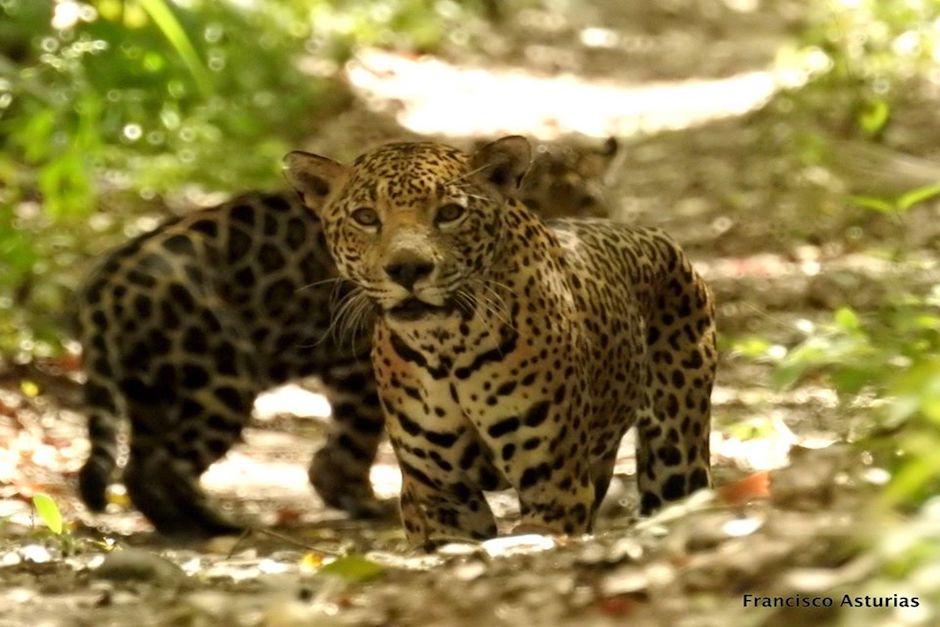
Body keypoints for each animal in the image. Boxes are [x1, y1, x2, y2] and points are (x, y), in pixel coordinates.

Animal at [76, 141, 617, 537]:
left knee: (138, 465)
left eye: (449, 213)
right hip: (217, 380)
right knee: (162, 467)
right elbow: (353, 440)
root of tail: (104, 285)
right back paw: (212, 525)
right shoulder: (355, 364)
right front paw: (356, 497)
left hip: (151, 392)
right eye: (366, 218)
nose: (587, 219)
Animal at [284, 136, 717, 548]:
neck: (445, 345)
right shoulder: (442, 496)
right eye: (366, 217)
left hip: (675, 459)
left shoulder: (553, 487)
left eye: (450, 213)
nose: (408, 269)